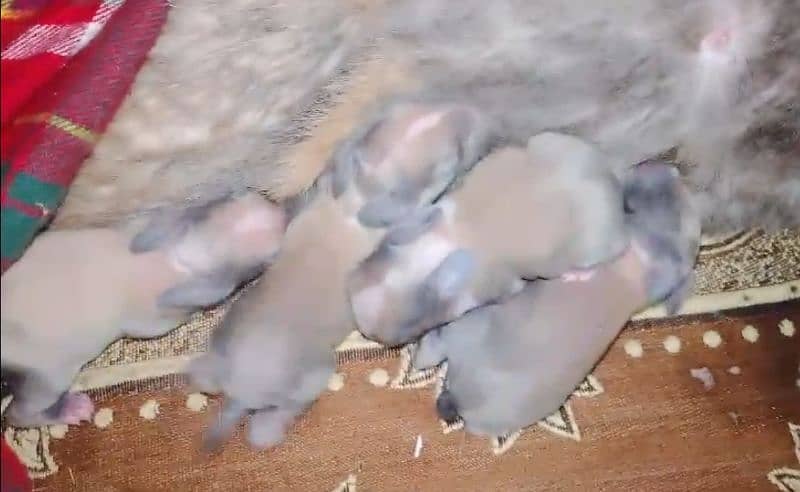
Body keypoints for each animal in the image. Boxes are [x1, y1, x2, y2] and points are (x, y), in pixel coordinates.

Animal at [0, 190, 284, 428]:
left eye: (244, 194)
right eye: (264, 263)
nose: (278, 207)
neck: (178, 255)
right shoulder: (151, 316)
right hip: (46, 373)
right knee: (19, 412)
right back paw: (68, 410)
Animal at [191, 100, 494, 450]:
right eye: (450, 160)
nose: (472, 111)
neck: (357, 197)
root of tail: (241, 392)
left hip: (222, 345)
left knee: (205, 374)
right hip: (312, 376)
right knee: (268, 424)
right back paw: (268, 428)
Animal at [346, 131, 628, 346]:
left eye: (411, 322)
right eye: (375, 254)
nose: (363, 327)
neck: (441, 247)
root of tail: (611, 181)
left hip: (592, 249)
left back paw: (577, 275)